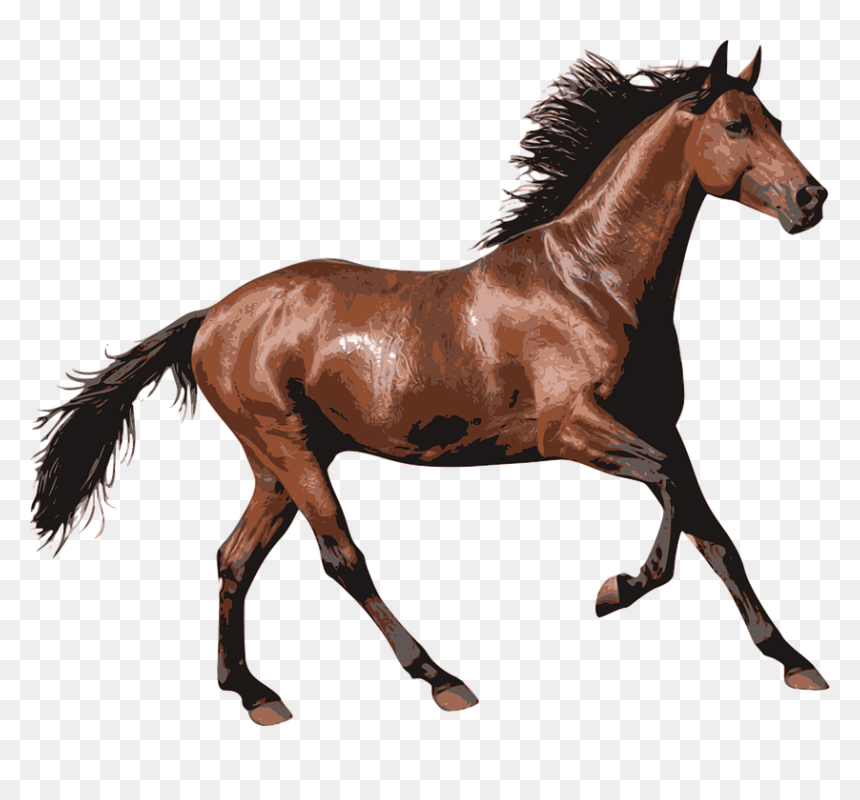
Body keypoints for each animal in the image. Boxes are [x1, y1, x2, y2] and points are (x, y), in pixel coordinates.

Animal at [32, 42, 830, 726]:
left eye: (777, 121)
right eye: (735, 124)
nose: (811, 199)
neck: (592, 283)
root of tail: (210, 318)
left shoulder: (661, 426)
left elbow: (713, 533)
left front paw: (794, 661)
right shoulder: (573, 430)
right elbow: (668, 493)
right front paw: (615, 591)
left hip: (276, 466)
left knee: (235, 559)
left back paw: (254, 693)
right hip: (290, 450)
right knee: (341, 559)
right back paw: (440, 678)